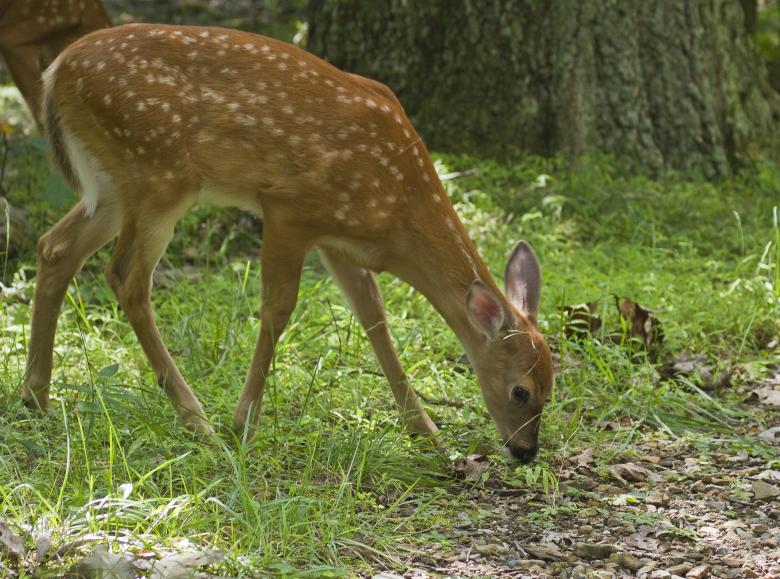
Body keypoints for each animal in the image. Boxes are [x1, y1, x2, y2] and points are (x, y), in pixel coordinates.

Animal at [22, 23, 554, 463]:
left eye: (553, 387)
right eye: (521, 391)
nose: (526, 452)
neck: (397, 211)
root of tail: (55, 70)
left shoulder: (339, 240)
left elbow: (374, 317)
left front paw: (428, 434)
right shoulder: (288, 209)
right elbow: (278, 309)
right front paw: (243, 424)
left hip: (114, 185)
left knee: (54, 248)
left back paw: (35, 396)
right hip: (158, 176)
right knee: (126, 278)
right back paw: (197, 421)